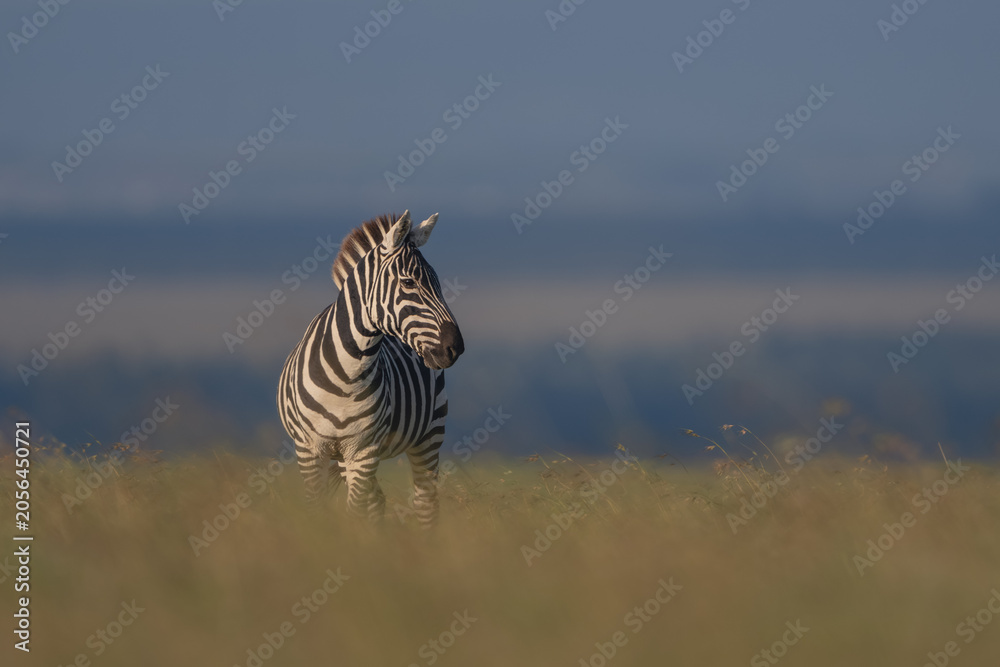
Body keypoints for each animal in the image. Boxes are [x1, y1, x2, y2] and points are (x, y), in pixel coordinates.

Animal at [277, 210, 464, 526]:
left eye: (438, 283)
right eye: (409, 283)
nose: (456, 347)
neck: (347, 373)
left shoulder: (363, 451)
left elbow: (354, 512)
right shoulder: (309, 451)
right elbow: (317, 511)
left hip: (429, 437)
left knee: (425, 504)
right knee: (377, 502)